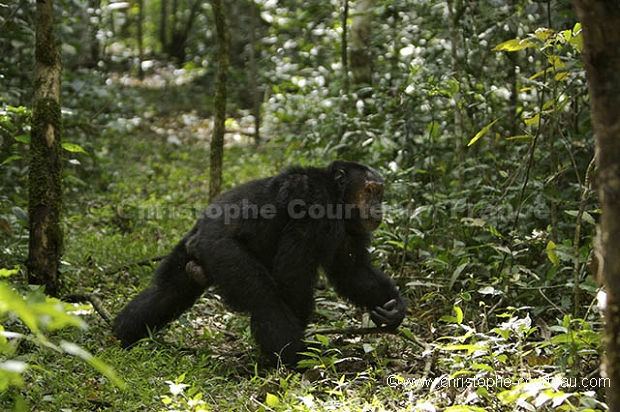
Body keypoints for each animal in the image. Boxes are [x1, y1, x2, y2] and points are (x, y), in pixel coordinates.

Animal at [112, 159, 406, 366]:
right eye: (369, 190)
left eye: (379, 192)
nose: (378, 206)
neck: (337, 196)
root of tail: (199, 235)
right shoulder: (314, 206)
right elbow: (292, 275)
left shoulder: (351, 231)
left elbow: (352, 271)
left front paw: (393, 308)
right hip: (222, 251)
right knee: (266, 301)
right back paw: (300, 358)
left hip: (188, 251)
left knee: (167, 292)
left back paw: (121, 334)